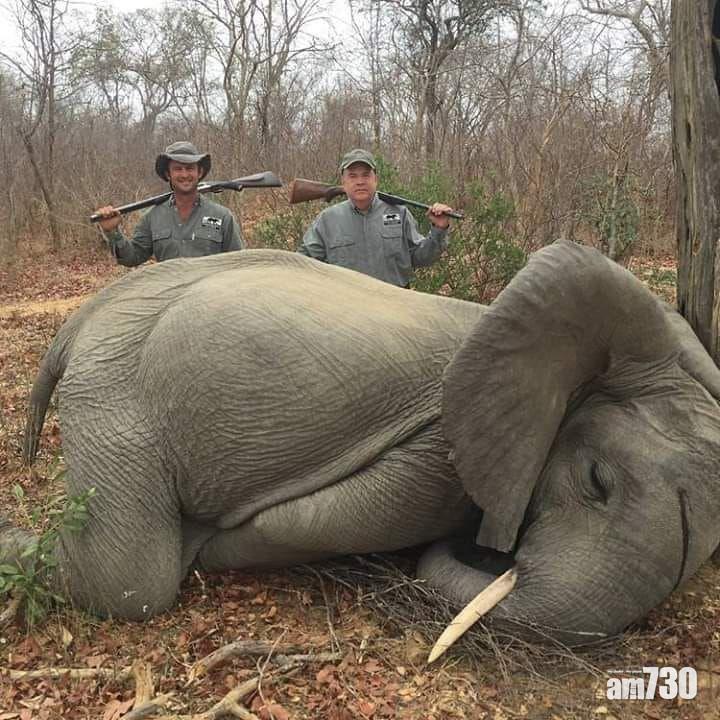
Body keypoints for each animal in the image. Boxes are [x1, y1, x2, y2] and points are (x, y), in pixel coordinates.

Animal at [3, 240, 720, 651]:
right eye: (597, 481)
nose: (488, 553)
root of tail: (80, 323)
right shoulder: (440, 453)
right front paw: (209, 543)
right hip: (114, 394)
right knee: (129, 581)